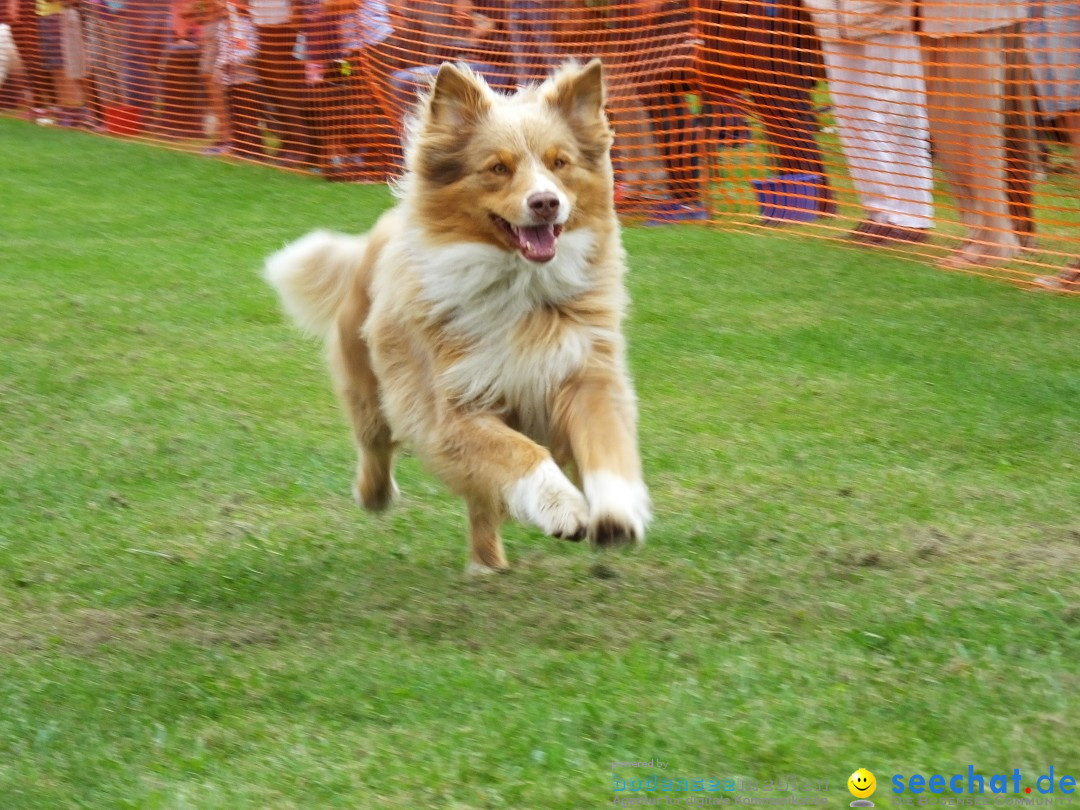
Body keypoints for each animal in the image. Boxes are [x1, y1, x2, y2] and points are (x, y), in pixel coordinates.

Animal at [263, 60, 648, 574]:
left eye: (559, 163)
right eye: (498, 167)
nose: (546, 202)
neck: (522, 290)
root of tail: (378, 233)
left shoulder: (586, 372)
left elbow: (606, 445)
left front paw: (618, 515)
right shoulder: (453, 407)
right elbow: (522, 453)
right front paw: (564, 507)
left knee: (479, 497)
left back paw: (489, 564)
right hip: (369, 381)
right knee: (374, 443)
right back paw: (378, 497)